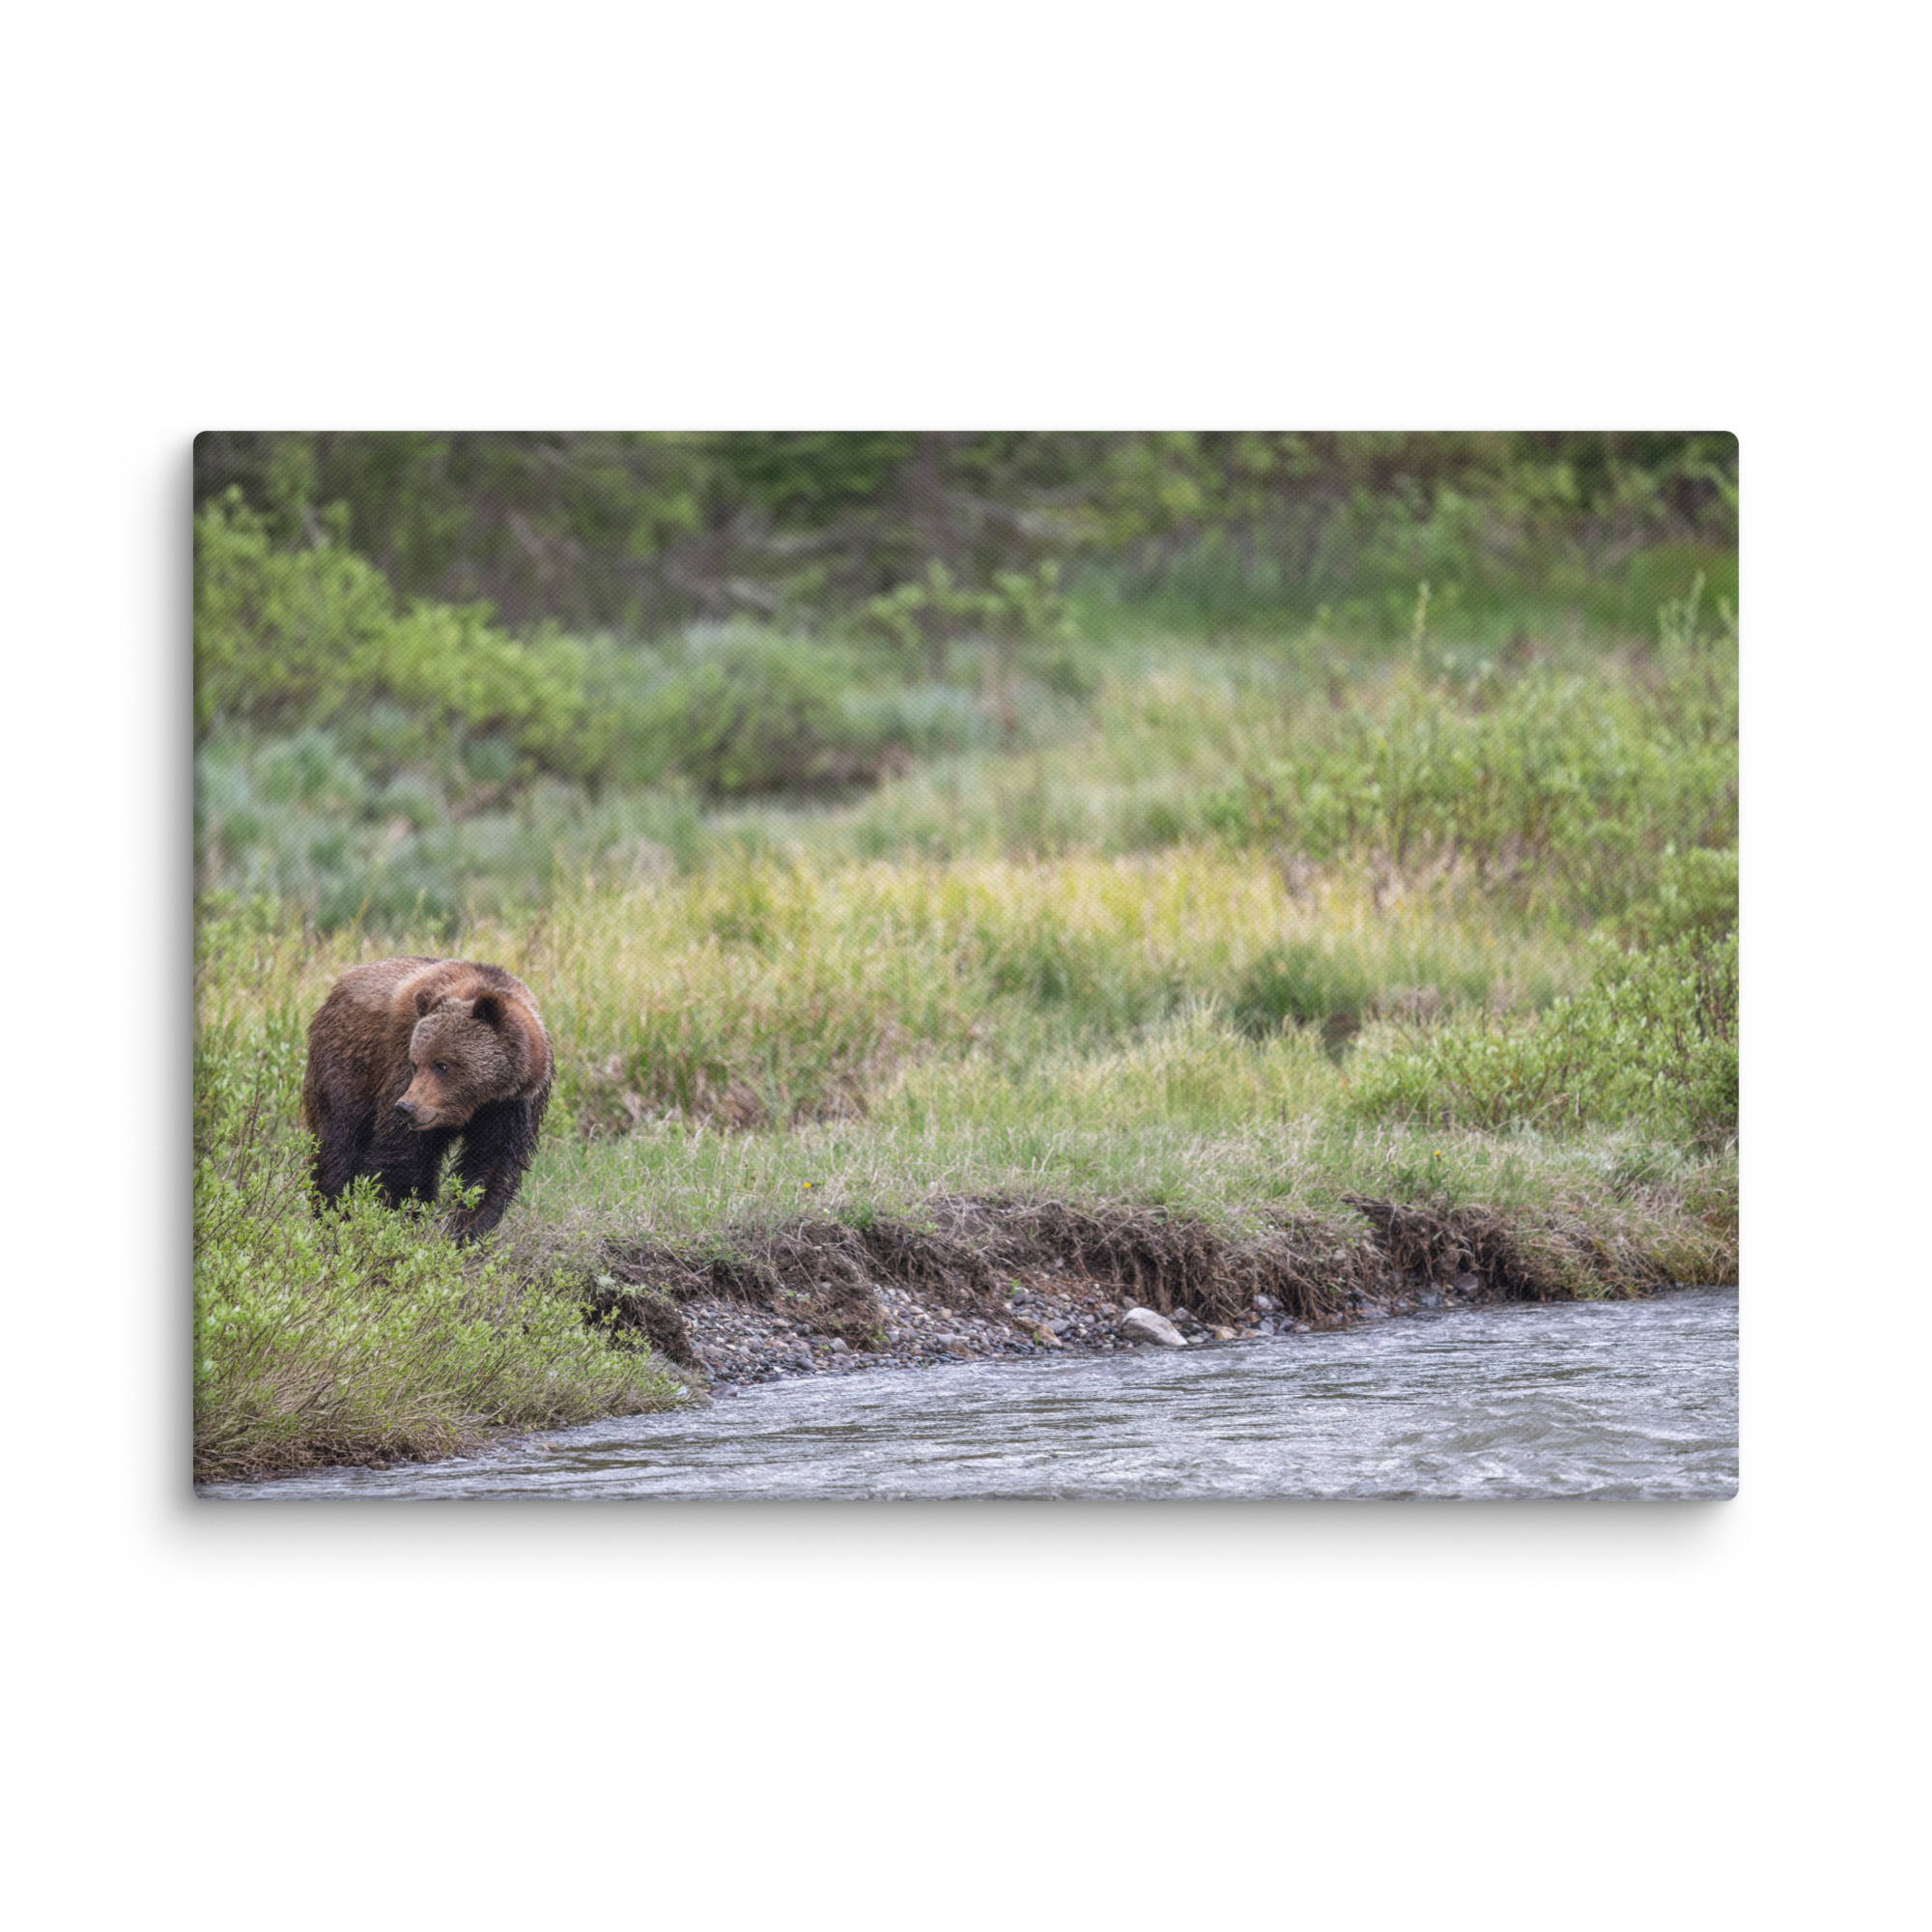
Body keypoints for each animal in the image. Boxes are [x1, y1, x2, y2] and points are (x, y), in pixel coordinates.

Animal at [301, 956, 553, 1241]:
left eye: (442, 1065)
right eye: (416, 1063)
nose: (406, 1108)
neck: (478, 1101)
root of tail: (340, 984)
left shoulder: (513, 1106)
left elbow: (490, 1167)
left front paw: (467, 1233)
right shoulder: (400, 1068)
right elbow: (402, 1158)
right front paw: (398, 1219)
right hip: (349, 1062)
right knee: (339, 1141)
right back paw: (332, 1215)